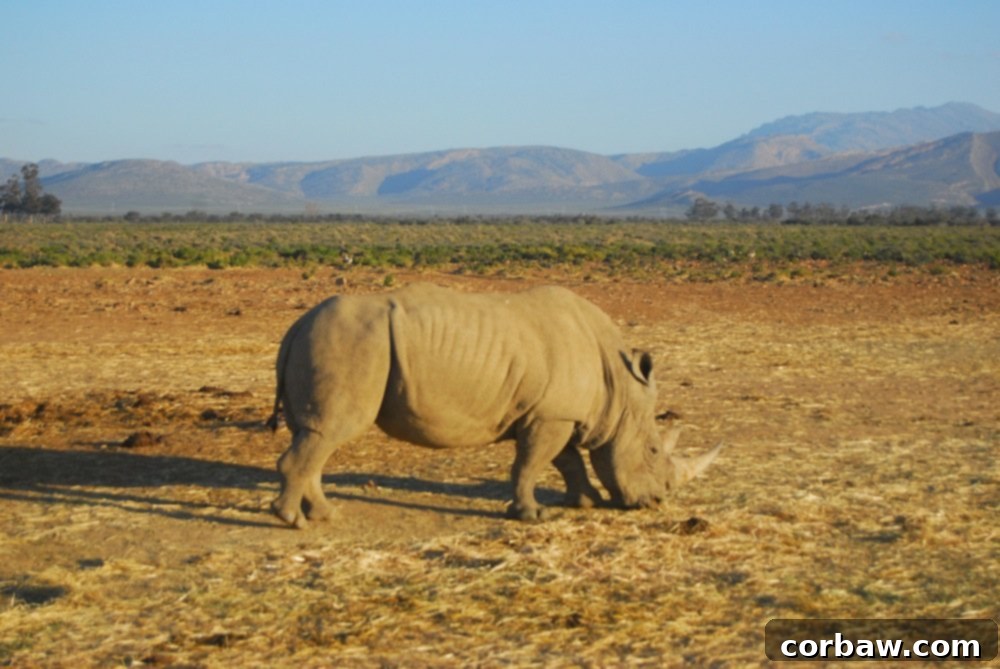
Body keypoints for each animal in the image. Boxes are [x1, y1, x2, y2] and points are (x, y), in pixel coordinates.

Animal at [268, 283, 720, 528]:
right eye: (653, 451)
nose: (657, 502)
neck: (620, 390)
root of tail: (295, 327)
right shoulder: (550, 416)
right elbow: (532, 464)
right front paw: (532, 515)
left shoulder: (554, 412)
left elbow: (567, 461)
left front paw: (585, 502)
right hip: (351, 342)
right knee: (328, 432)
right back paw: (294, 521)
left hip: (330, 340)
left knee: (315, 434)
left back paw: (325, 515)